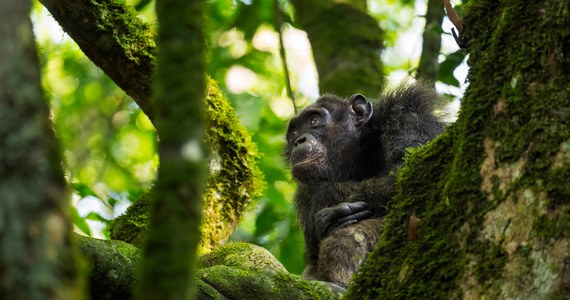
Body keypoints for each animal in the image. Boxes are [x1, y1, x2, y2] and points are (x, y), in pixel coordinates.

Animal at [284, 79, 444, 290]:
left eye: (314, 121)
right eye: (294, 132)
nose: (299, 140)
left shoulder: (408, 114)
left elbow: (412, 170)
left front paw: (323, 206)